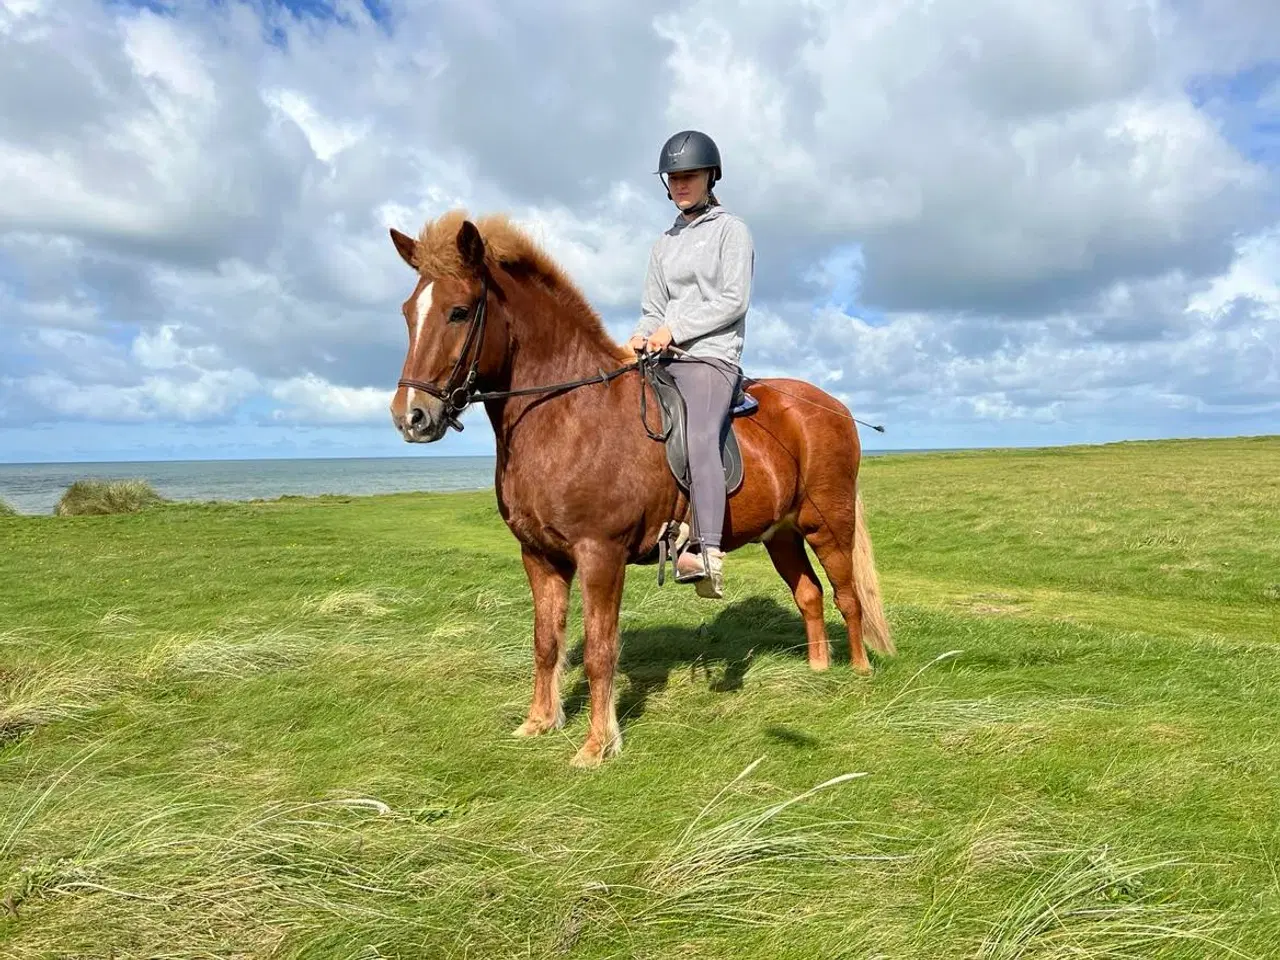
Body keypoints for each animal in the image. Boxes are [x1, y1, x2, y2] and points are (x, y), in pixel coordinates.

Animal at [384, 213, 896, 773]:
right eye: (408, 312)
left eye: (459, 311)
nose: (411, 418)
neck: (568, 416)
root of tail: (833, 407)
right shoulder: (539, 556)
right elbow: (546, 642)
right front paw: (539, 722)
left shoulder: (600, 555)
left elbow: (600, 650)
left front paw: (597, 746)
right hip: (780, 535)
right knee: (809, 594)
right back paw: (817, 671)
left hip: (828, 525)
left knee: (848, 597)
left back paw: (859, 672)